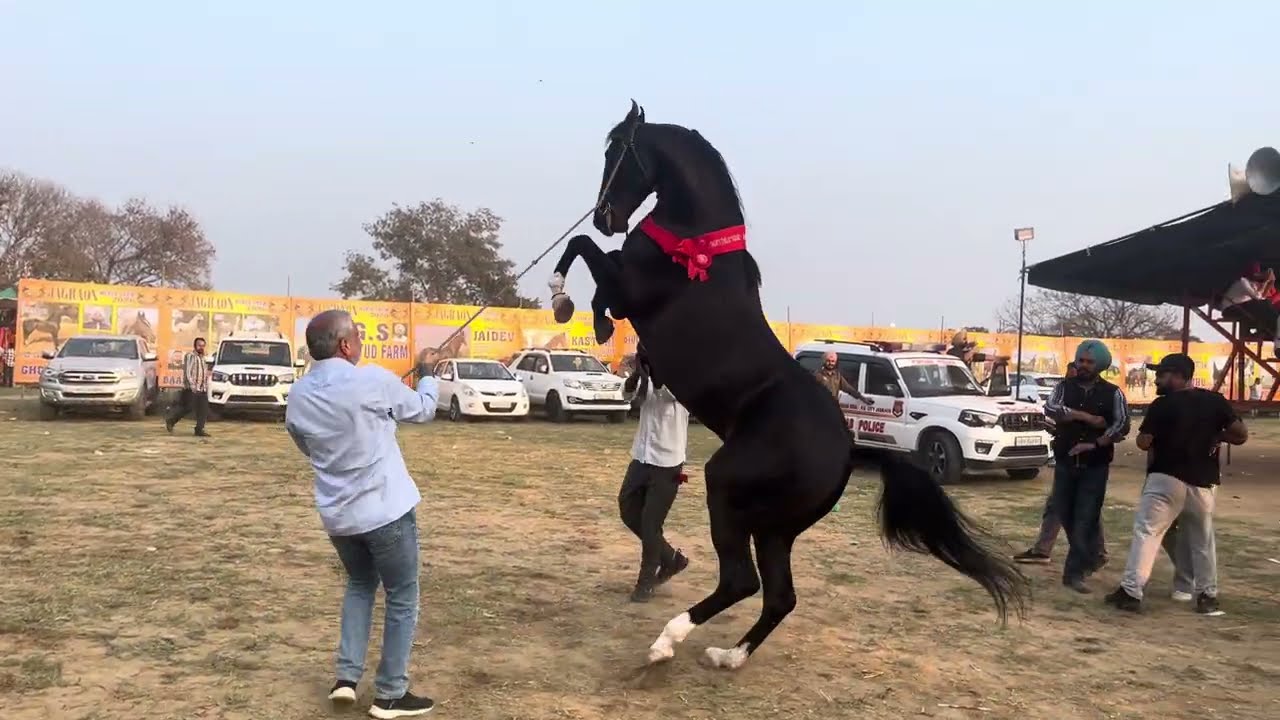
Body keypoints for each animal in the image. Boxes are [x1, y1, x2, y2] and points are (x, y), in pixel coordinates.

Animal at [548, 101, 1028, 670]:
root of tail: (847, 454)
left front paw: (565, 299)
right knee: (779, 595)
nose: (607, 217)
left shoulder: (631, 292)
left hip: (727, 490)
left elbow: (584, 254)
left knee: (740, 581)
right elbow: (594, 267)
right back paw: (728, 656)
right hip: (775, 528)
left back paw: (667, 643)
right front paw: (589, 315)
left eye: (616, 150)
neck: (694, 242)